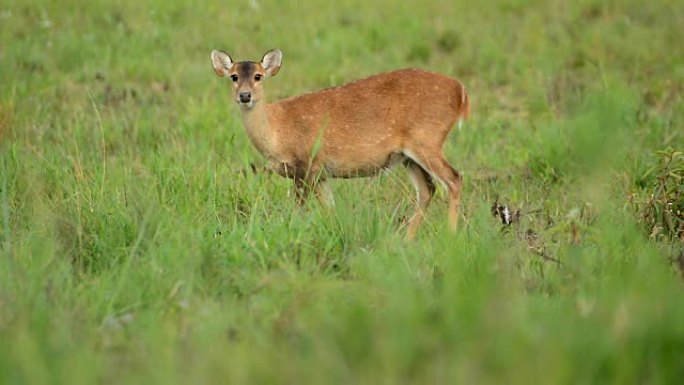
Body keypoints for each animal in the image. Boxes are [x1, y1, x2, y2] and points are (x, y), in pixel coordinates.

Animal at [211, 48, 470, 237]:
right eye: (234, 76)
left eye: (258, 76)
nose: (245, 96)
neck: (277, 130)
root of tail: (460, 92)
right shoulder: (321, 175)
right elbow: (330, 209)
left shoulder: (308, 165)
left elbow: (300, 209)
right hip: (408, 155)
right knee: (428, 189)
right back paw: (406, 239)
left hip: (426, 139)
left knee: (454, 178)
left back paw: (450, 235)